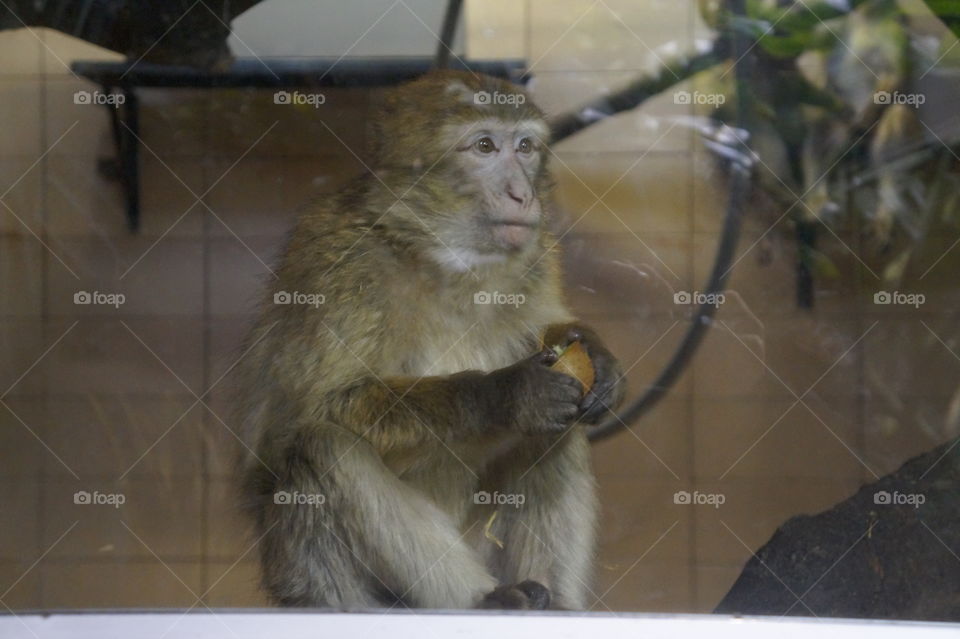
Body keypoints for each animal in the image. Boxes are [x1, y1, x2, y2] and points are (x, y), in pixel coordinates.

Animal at [236, 70, 626, 611]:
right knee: (322, 447)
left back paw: (558, 604)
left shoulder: (539, 254)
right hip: (311, 582)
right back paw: (484, 601)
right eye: (484, 146)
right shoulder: (337, 264)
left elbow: (551, 330)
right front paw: (505, 394)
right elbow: (317, 410)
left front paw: (596, 355)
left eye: (525, 147)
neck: (440, 257)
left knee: (560, 432)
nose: (522, 195)